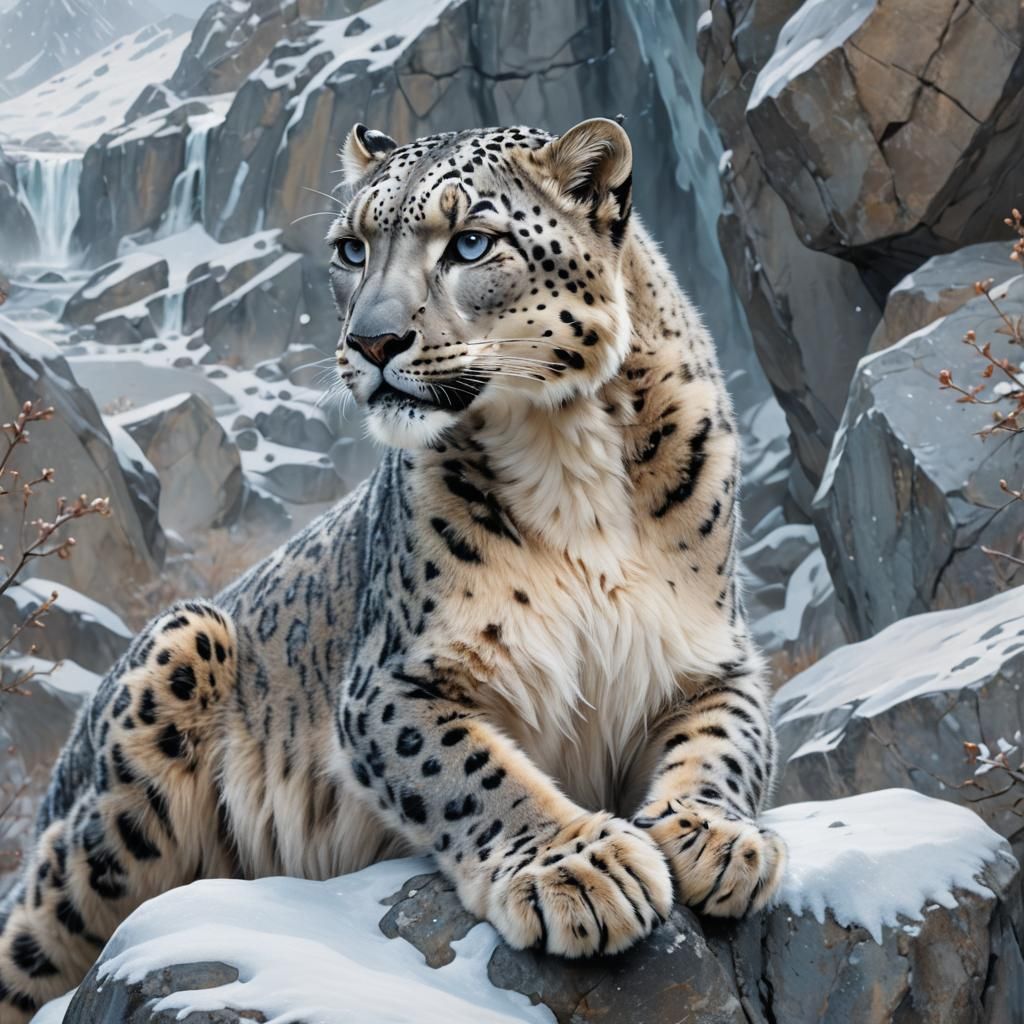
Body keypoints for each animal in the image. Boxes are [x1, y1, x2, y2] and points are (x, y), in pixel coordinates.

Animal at [0, 117, 786, 1021]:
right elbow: (472, 772)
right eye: (352, 249)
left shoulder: (709, 653)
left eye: (472, 241)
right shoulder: (393, 678)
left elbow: (725, 742)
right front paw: (579, 868)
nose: (371, 342)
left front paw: (717, 838)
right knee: (43, 925)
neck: (569, 458)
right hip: (166, 679)